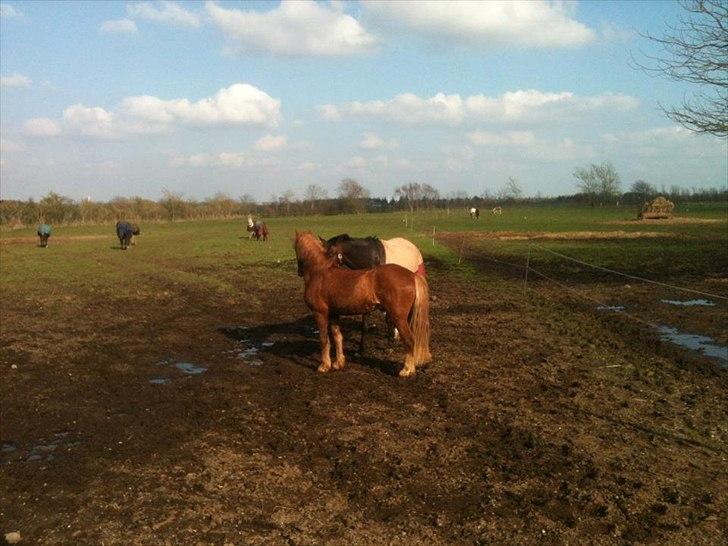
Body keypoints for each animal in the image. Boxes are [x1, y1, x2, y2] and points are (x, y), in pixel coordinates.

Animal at [292, 228, 430, 374]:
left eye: (294, 247)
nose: (299, 272)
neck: (319, 271)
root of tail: (412, 275)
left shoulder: (320, 313)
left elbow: (324, 339)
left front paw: (324, 366)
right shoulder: (334, 314)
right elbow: (337, 336)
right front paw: (338, 363)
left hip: (399, 317)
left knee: (410, 340)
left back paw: (407, 370)